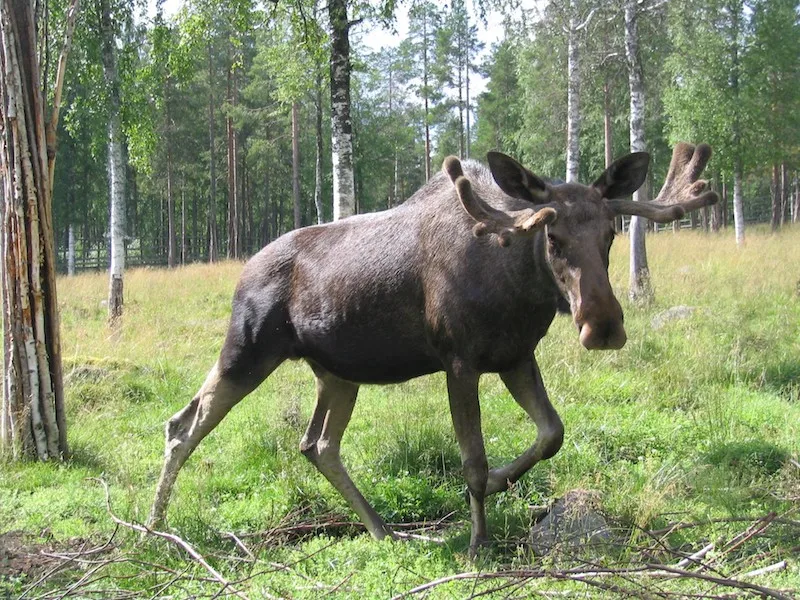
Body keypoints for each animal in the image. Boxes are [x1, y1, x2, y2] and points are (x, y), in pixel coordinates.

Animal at [148, 142, 720, 552]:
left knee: (318, 444)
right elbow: (474, 460)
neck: (518, 286)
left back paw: (382, 529)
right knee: (184, 424)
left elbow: (551, 433)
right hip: (248, 348)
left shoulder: (515, 356)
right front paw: (478, 541)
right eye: (553, 238)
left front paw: (501, 485)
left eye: (611, 234)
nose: (601, 326)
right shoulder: (459, 361)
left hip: (338, 371)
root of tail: (242, 269)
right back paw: (155, 528)